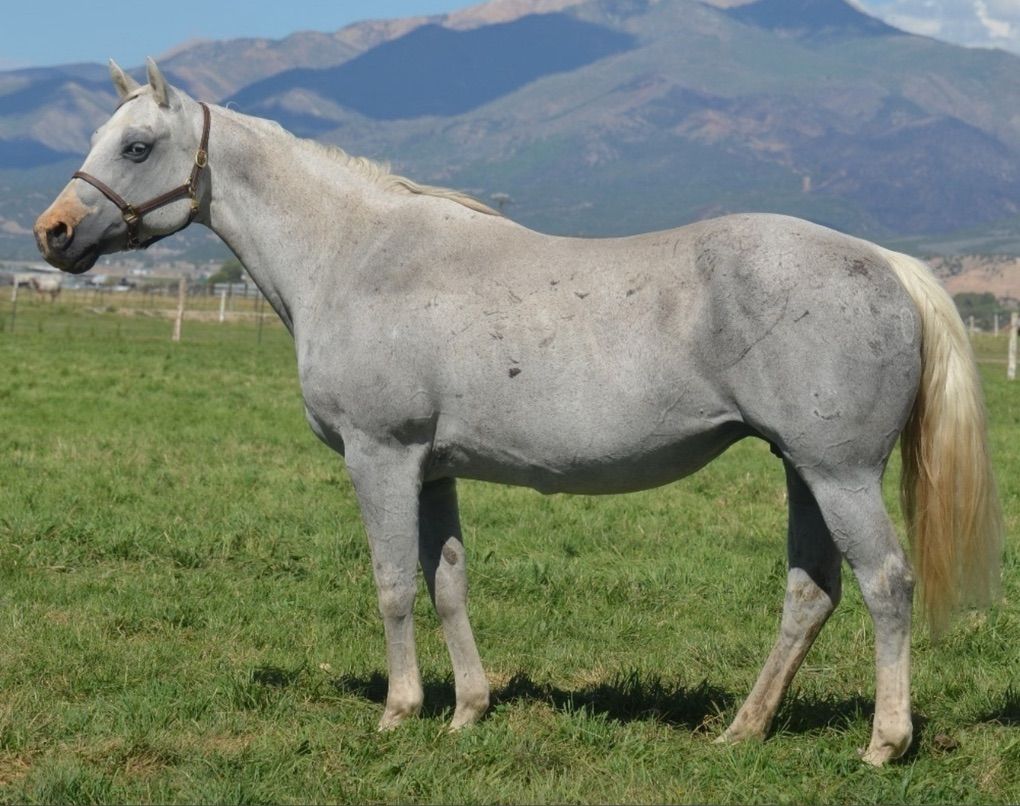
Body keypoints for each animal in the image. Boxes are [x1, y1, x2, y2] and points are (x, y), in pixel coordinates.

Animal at [34, 59, 1002, 766]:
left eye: (137, 146)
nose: (51, 233)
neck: (357, 256)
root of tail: (884, 262)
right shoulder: (432, 471)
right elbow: (446, 582)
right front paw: (468, 709)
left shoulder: (380, 457)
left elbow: (391, 584)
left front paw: (399, 712)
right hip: (802, 470)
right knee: (810, 593)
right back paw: (743, 728)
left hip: (841, 475)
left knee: (886, 584)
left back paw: (883, 744)